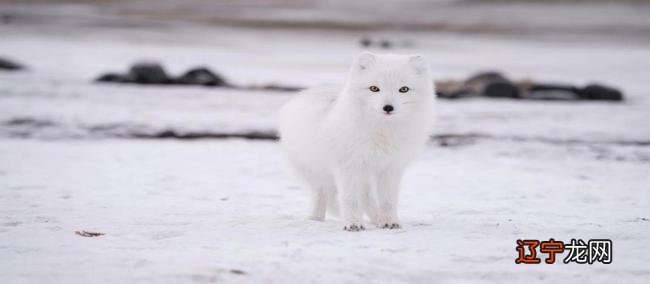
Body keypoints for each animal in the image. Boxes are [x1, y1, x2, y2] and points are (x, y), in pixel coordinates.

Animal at [276, 52, 432, 232]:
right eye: (374, 88)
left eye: (404, 89)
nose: (388, 107)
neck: (382, 132)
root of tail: (305, 93)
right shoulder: (347, 166)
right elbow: (350, 199)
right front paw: (353, 223)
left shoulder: (391, 168)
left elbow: (388, 200)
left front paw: (389, 222)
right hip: (316, 172)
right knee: (321, 194)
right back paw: (315, 219)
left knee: (367, 198)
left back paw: (376, 219)